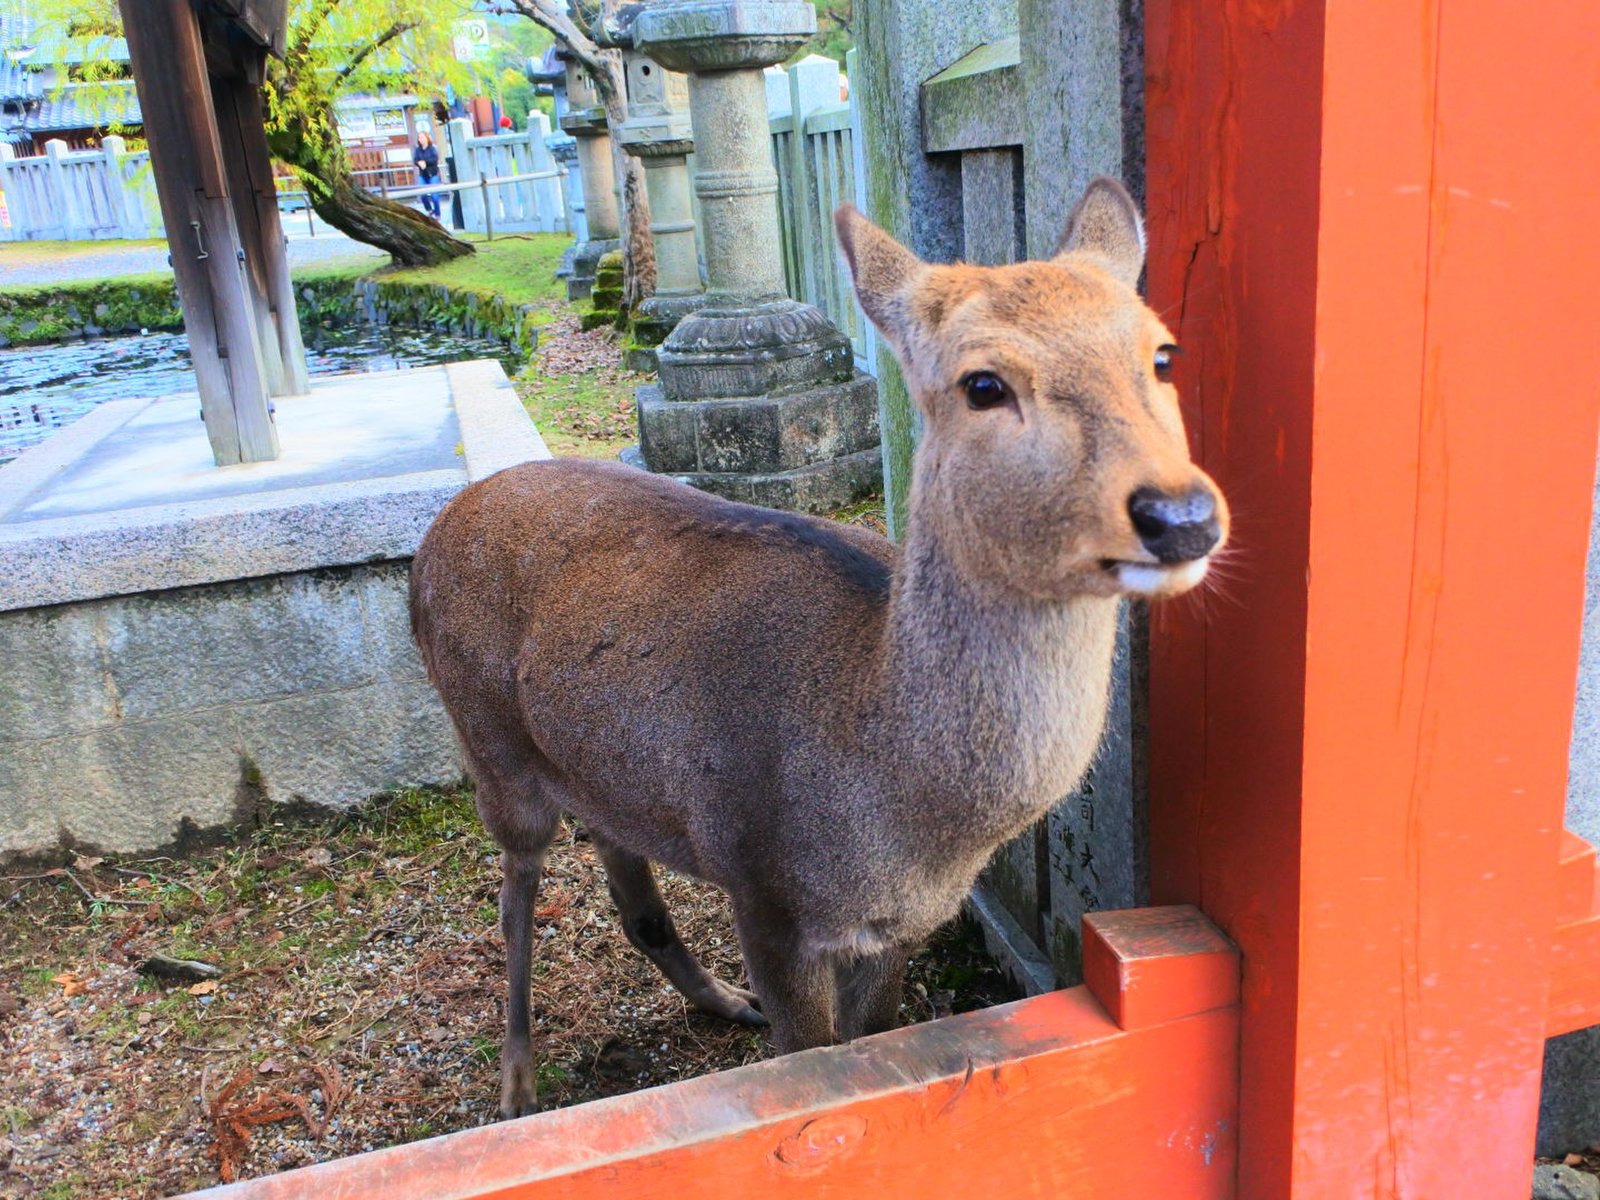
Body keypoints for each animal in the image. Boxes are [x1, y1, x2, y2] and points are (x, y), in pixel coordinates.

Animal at [409, 178, 1222, 1120]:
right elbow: (810, 1063)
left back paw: (724, 1002)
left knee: (626, 882)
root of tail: (429, 543)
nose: (1180, 514)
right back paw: (517, 1081)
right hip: (489, 743)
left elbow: (867, 1043)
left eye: (1162, 354)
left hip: (600, 766)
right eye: (982, 383)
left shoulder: (900, 925)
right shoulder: (763, 888)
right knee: (515, 886)